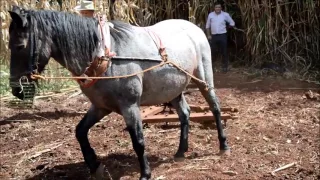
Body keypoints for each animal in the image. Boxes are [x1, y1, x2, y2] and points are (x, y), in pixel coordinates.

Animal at [8, 5, 230, 180]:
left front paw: (145, 173)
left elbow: (138, 141)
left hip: (203, 79)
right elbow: (80, 131)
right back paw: (181, 151)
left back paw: (223, 145)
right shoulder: (100, 107)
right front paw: (95, 167)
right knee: (185, 114)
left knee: (215, 108)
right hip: (173, 89)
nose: (16, 89)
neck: (106, 57)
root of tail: (193, 28)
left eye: (19, 46)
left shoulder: (130, 106)